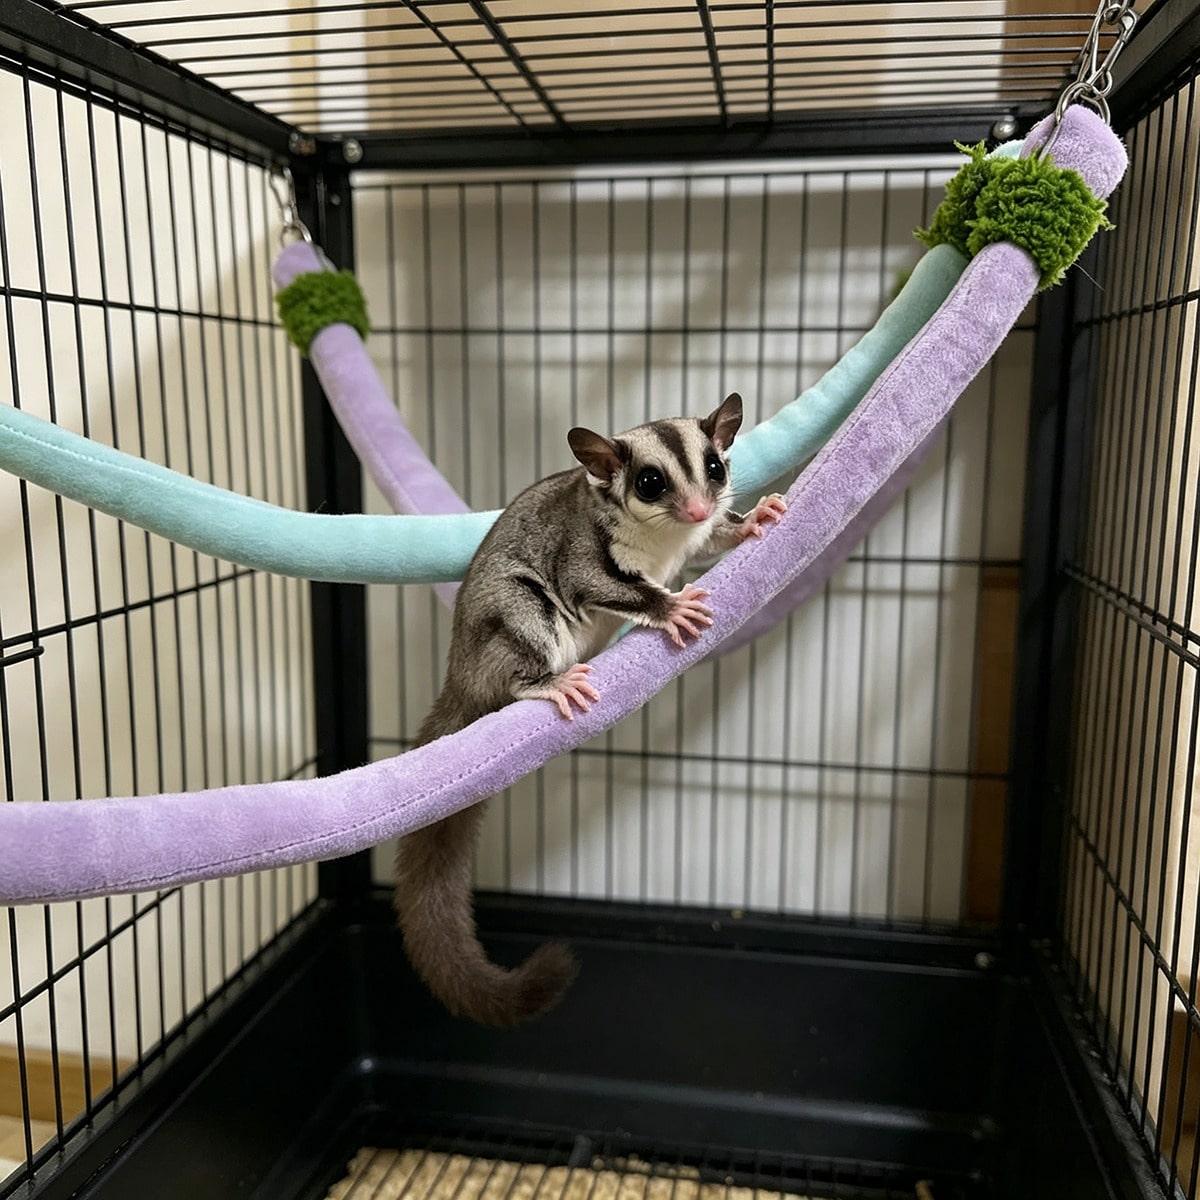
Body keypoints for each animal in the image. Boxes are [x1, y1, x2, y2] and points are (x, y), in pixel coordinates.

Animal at [393, 392, 787, 1027]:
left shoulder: (694, 537)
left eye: (715, 469)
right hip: (516, 615)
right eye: (650, 483)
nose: (699, 508)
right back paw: (549, 684)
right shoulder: (583, 555)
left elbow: (712, 542)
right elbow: (596, 582)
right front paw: (670, 608)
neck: (663, 538)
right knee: (523, 639)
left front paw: (753, 519)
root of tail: (459, 679)